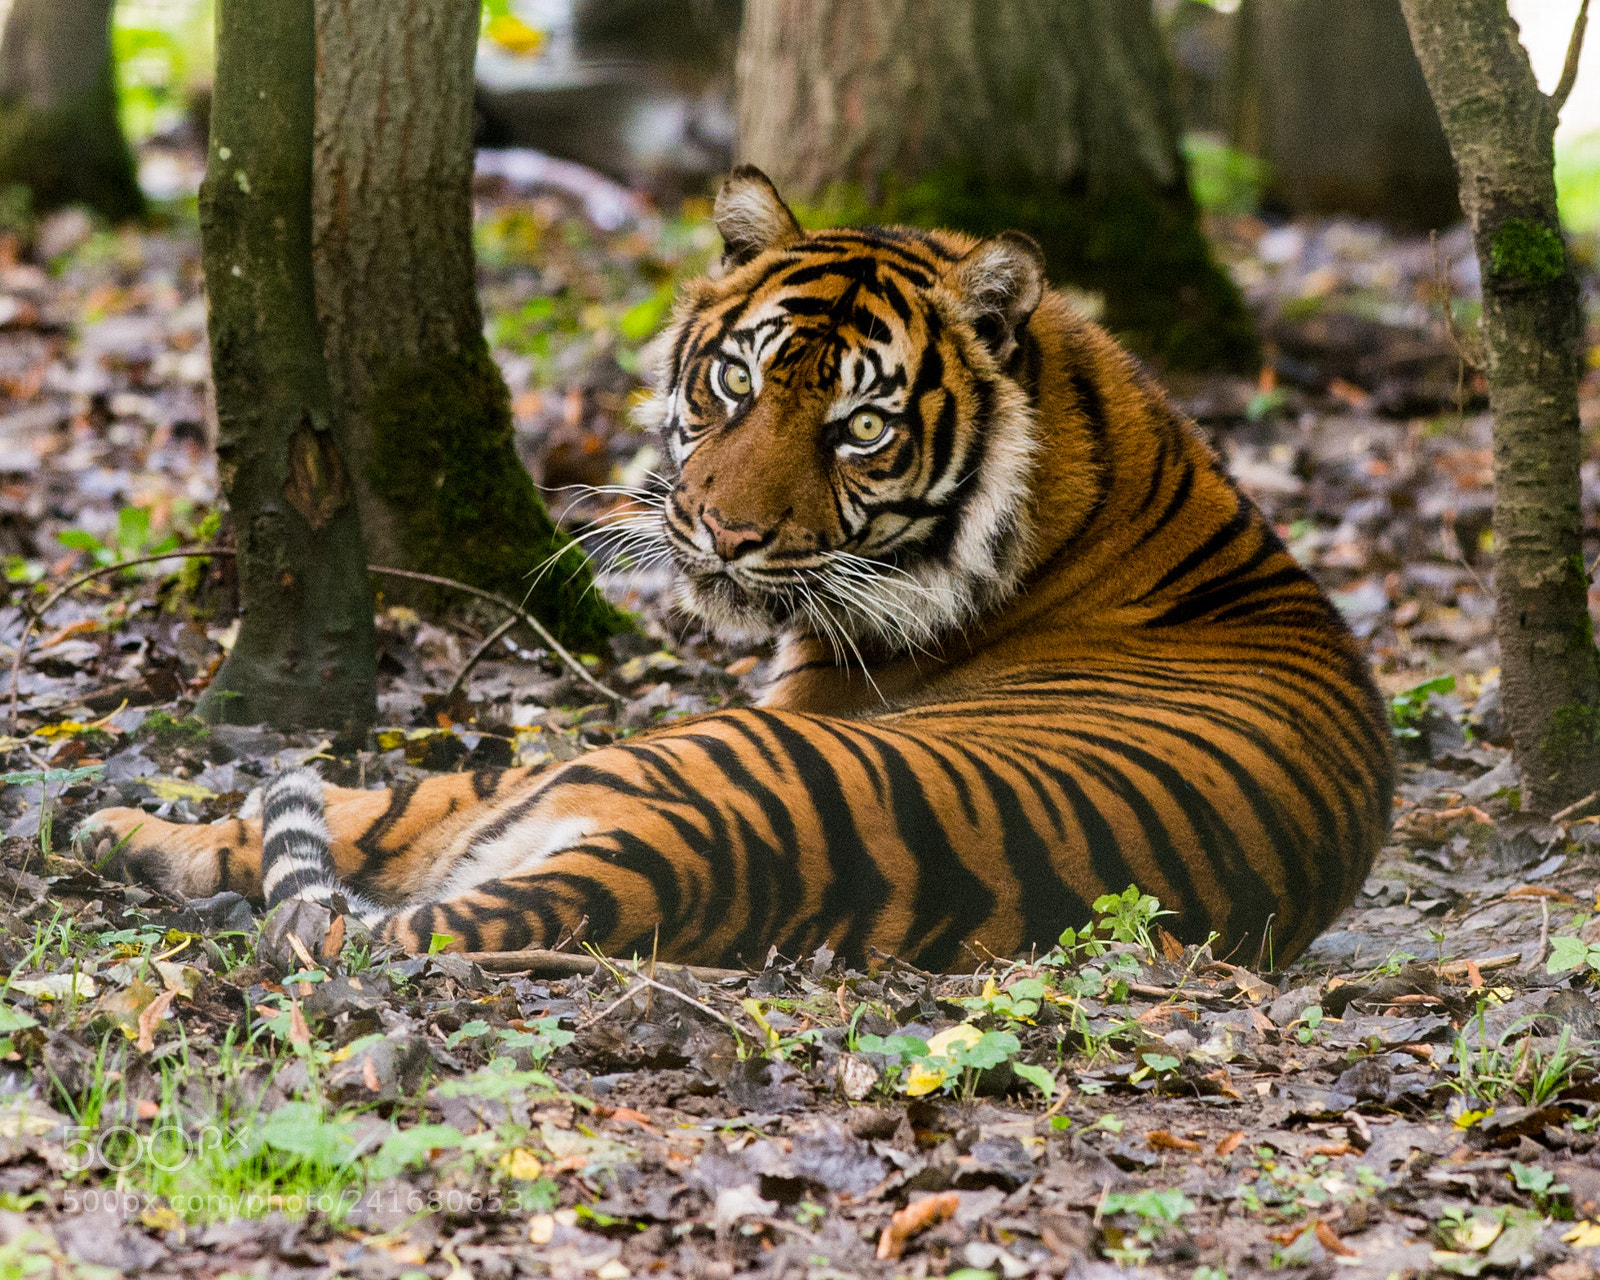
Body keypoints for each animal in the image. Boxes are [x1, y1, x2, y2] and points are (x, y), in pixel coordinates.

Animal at [84, 166, 1393, 972]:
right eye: (737, 379)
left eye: (859, 428)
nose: (723, 532)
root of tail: (687, 869)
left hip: (590, 765)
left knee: (330, 820)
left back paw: (113, 825)